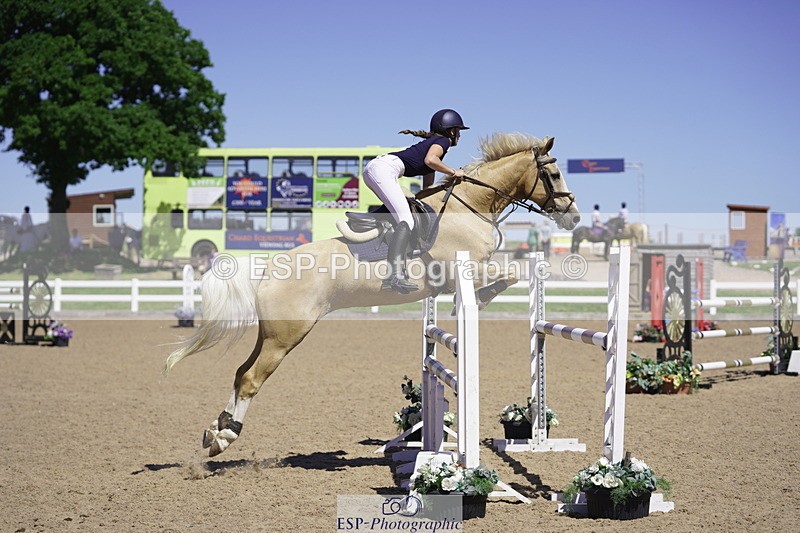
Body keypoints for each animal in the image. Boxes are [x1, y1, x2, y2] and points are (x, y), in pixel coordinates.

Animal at [164, 132, 581, 457]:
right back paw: (226, 438)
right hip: (286, 336)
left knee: (240, 373)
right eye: (554, 174)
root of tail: (268, 268)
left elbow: (510, 273)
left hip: (271, 333)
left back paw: (216, 432)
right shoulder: (464, 267)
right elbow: (509, 273)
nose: (573, 217)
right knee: (251, 379)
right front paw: (476, 300)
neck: (470, 207)